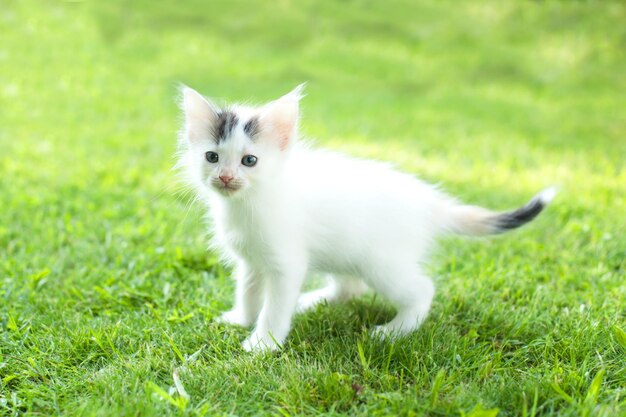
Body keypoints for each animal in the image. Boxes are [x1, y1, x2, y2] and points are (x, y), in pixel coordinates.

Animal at [176, 84, 552, 352]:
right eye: (212, 157)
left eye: (249, 161)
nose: (226, 178)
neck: (250, 203)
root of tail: (430, 201)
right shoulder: (251, 261)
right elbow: (249, 291)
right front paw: (241, 319)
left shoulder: (286, 264)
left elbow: (275, 307)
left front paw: (262, 344)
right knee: (349, 288)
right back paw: (311, 302)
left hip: (381, 262)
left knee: (422, 289)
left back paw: (393, 332)